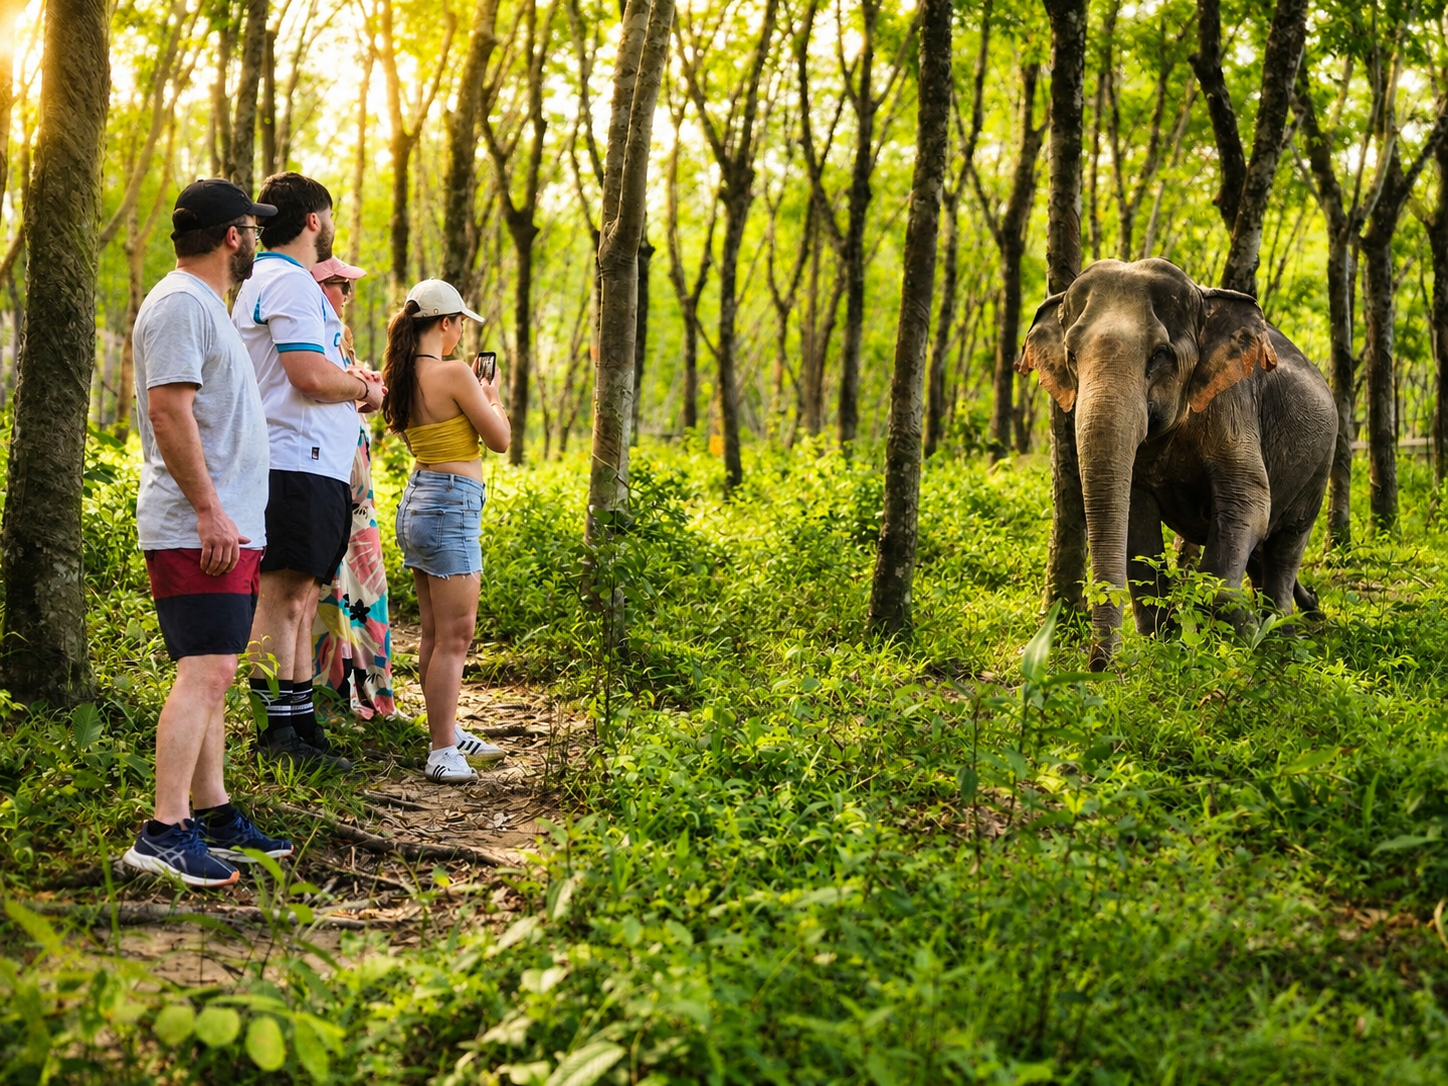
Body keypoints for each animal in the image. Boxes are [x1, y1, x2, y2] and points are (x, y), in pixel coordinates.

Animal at [1016, 258, 1337, 669]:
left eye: (1159, 355)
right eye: (1071, 356)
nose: (1100, 667)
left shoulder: (1233, 406)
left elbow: (1249, 502)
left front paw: (1233, 635)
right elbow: (1137, 522)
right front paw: (1165, 652)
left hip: (1319, 467)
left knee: (1285, 546)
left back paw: (1282, 638)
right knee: (1259, 557)